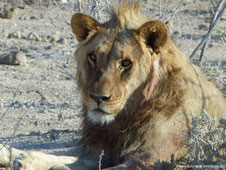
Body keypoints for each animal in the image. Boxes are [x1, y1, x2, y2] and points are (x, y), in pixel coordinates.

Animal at [0, 0, 225, 169]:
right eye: (92, 57)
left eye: (125, 63)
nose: (98, 98)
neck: (124, 118)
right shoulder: (96, 153)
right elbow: (65, 157)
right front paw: (24, 159)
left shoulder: (150, 158)